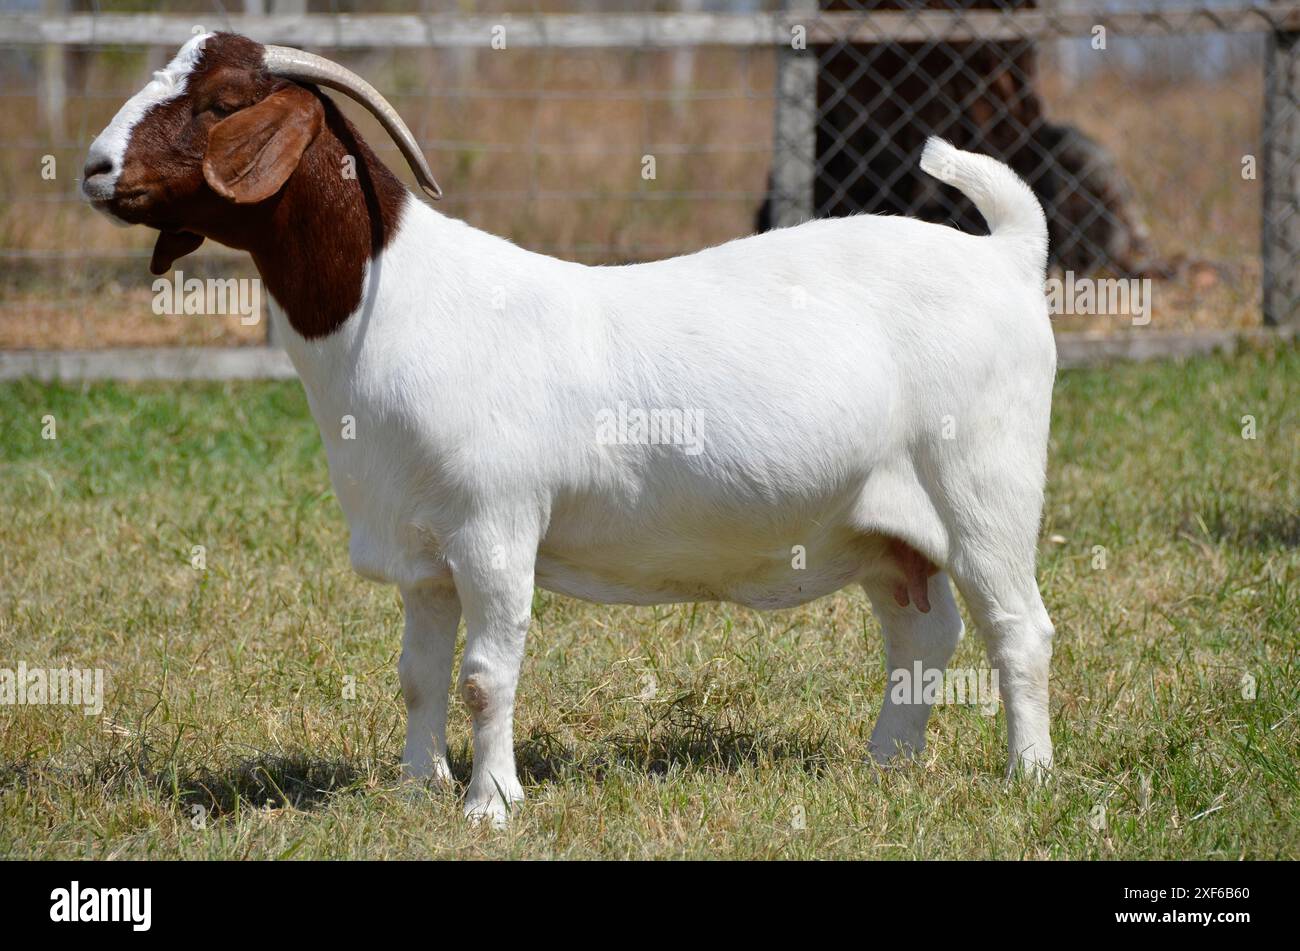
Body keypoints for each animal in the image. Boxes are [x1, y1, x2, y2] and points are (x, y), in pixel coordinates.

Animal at [81, 33, 1055, 821]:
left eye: (220, 102)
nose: (93, 167)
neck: (389, 304)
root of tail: (1007, 254)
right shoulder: (423, 552)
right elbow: (417, 675)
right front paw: (418, 787)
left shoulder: (496, 526)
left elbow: (485, 676)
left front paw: (491, 803)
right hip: (883, 527)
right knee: (921, 632)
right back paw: (887, 763)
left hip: (984, 486)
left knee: (1017, 626)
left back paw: (1028, 775)